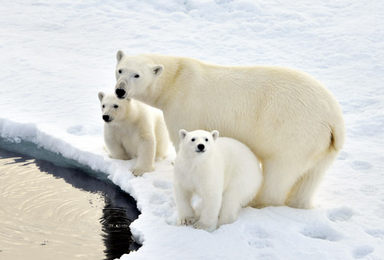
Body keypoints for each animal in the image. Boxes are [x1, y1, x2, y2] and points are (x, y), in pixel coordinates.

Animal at [113, 50, 344, 209]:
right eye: (120, 70)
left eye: (137, 75)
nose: (120, 90)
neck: (176, 79)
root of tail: (334, 119)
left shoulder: (184, 108)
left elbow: (185, 140)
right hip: (322, 146)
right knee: (311, 177)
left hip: (293, 131)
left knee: (280, 170)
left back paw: (256, 202)